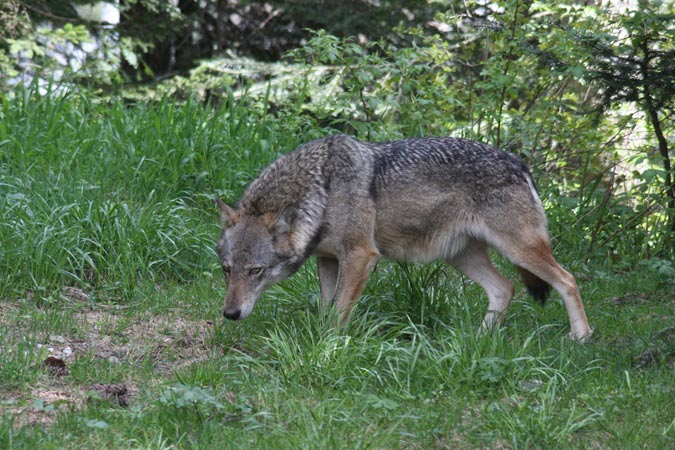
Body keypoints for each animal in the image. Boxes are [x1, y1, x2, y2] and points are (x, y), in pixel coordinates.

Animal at [215, 135, 592, 340]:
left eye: (256, 271)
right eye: (226, 270)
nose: (230, 314)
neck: (320, 188)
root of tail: (519, 162)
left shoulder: (360, 256)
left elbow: (338, 312)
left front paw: (327, 349)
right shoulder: (327, 259)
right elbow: (325, 307)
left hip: (518, 251)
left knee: (567, 279)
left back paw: (581, 336)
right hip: (461, 257)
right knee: (505, 288)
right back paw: (478, 340)